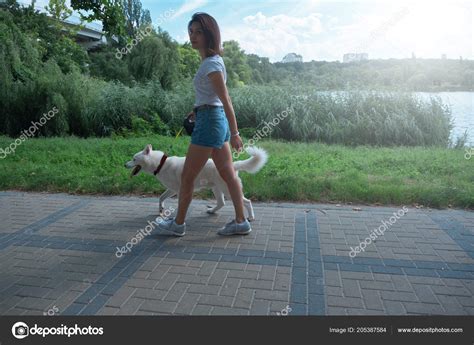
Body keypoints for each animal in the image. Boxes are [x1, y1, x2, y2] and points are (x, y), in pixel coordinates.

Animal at [125, 144, 266, 220]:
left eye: (134, 159)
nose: (124, 164)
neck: (160, 163)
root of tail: (232, 165)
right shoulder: (171, 189)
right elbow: (161, 198)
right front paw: (161, 209)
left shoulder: (178, 190)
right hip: (216, 189)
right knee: (221, 203)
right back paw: (212, 211)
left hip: (227, 190)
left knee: (247, 202)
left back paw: (251, 217)